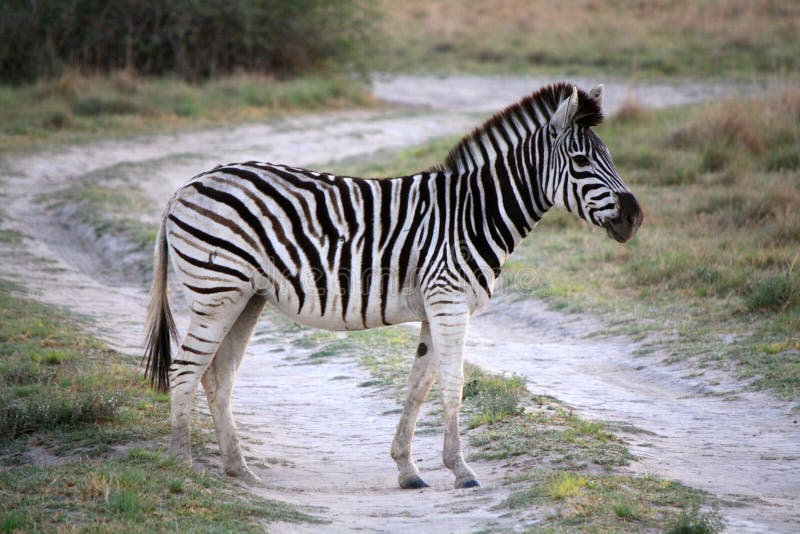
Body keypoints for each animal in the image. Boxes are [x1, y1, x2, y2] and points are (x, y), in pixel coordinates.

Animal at [144, 82, 644, 490]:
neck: (474, 213)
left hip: (247, 296)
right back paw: (180, 466)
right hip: (217, 290)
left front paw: (409, 469)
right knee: (186, 369)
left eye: (609, 156)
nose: (634, 217)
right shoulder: (449, 301)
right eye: (581, 161)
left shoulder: (435, 307)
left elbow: (419, 385)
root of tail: (185, 187)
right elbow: (453, 384)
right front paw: (462, 471)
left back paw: (239, 469)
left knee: (218, 374)